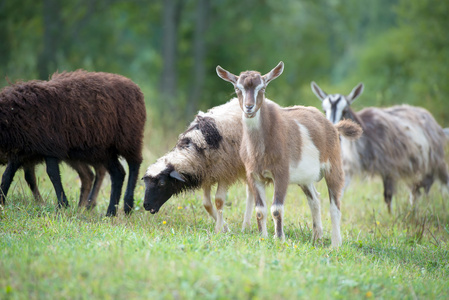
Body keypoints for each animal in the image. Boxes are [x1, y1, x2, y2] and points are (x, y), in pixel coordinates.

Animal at [0, 70, 145, 216]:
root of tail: (135, 87)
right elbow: (8, 175)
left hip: (129, 138)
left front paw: (63, 205)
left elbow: (52, 174)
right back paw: (110, 212)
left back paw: (127, 206)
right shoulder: (22, 151)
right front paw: (2, 202)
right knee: (117, 173)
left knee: (134, 165)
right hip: (104, 150)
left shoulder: (51, 146)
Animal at [310, 81, 448, 212]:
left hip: (435, 161)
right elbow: (340, 190)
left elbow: (388, 196)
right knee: (416, 190)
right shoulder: (349, 166)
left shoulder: (389, 167)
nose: (332, 129)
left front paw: (391, 216)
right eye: (324, 110)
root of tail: (437, 127)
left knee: (440, 182)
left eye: (345, 110)